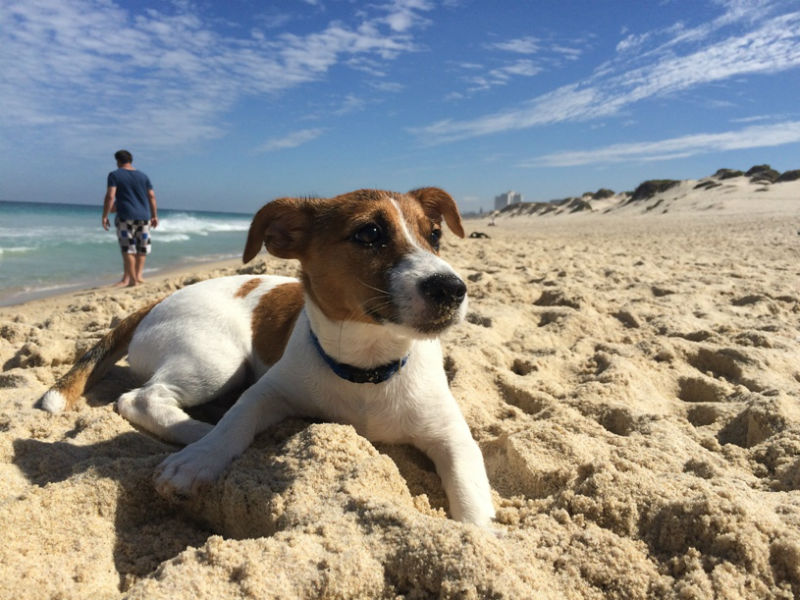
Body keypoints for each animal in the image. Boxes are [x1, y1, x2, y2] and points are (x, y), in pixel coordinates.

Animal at [42, 188, 500, 524]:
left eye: (435, 235)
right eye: (369, 234)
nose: (452, 289)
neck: (368, 367)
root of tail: (158, 299)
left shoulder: (452, 435)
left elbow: (471, 497)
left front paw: (477, 540)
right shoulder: (269, 390)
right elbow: (237, 421)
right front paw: (200, 459)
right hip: (220, 362)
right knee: (139, 398)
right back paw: (197, 432)